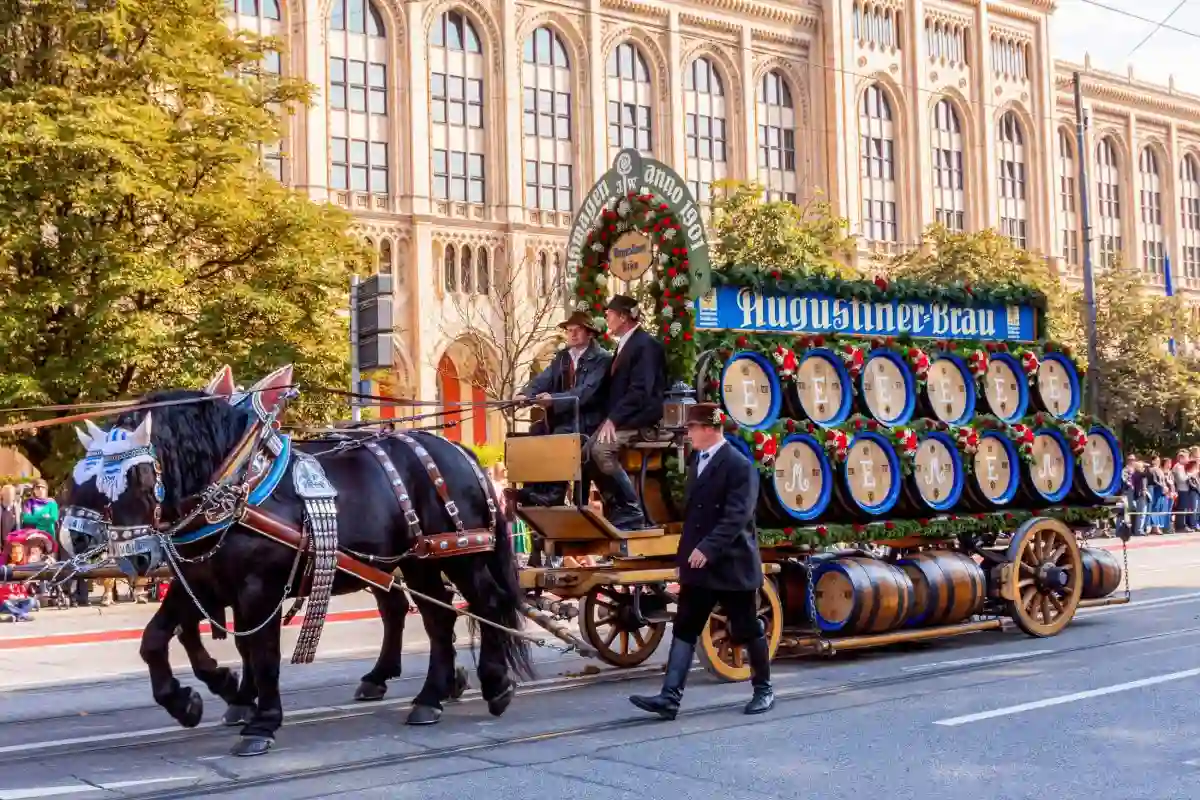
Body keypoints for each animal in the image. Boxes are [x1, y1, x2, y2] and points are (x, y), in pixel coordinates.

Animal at [65, 388, 532, 758]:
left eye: (141, 476)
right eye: (79, 480)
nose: (137, 559)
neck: (236, 487)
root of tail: (459, 452)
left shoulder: (259, 589)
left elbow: (262, 651)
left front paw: (260, 720)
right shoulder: (200, 582)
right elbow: (157, 639)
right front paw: (192, 700)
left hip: (458, 554)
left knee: (485, 603)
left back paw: (494, 684)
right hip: (414, 562)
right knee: (434, 617)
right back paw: (428, 695)